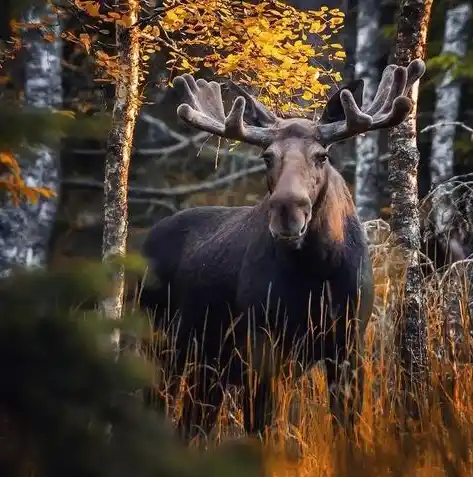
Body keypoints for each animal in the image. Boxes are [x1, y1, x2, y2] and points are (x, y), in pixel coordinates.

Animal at [138, 57, 426, 440]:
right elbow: (262, 428)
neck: (316, 272)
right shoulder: (261, 341)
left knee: (192, 423)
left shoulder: (349, 341)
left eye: (322, 155)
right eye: (267, 156)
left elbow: (345, 427)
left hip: (207, 363)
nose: (288, 211)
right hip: (160, 342)